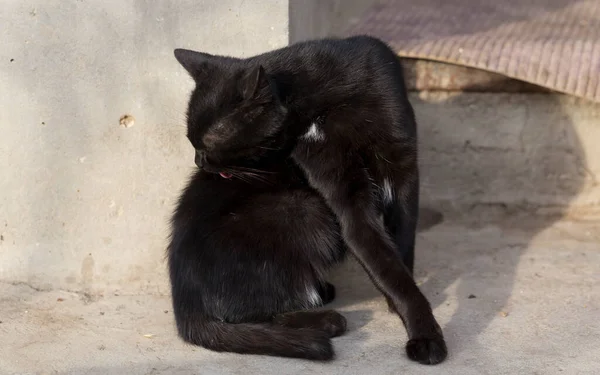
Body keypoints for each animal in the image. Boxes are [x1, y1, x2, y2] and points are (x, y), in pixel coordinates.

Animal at [169, 35, 446, 364]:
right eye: (191, 142)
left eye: (206, 143)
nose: (198, 161)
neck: (324, 103)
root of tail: (185, 306)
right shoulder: (343, 196)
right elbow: (376, 251)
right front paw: (424, 333)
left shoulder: (403, 170)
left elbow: (400, 249)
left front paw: (410, 312)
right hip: (304, 209)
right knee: (244, 314)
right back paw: (326, 321)